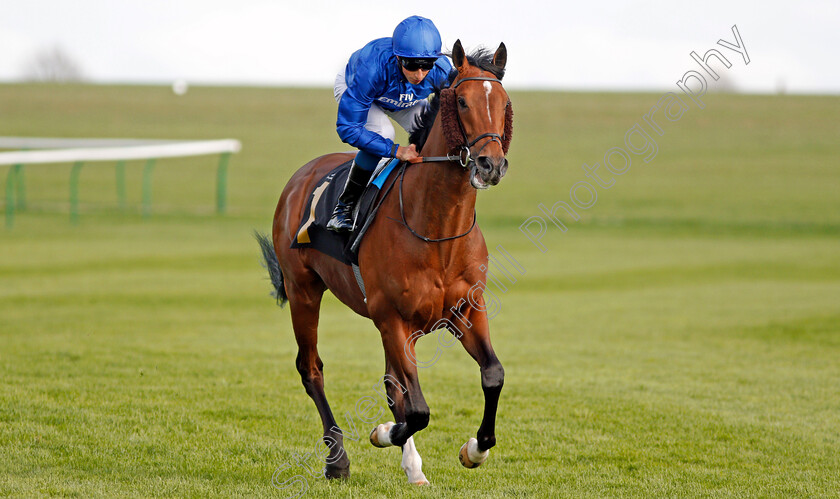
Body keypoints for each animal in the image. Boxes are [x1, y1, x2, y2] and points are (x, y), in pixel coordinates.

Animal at [258, 41, 512, 486]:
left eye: (504, 103)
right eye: (463, 101)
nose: (490, 164)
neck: (437, 230)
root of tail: (301, 176)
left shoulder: (466, 310)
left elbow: (492, 375)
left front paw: (475, 449)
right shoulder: (392, 318)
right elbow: (418, 408)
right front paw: (381, 433)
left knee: (393, 384)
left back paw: (412, 467)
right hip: (303, 290)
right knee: (311, 368)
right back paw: (337, 459)